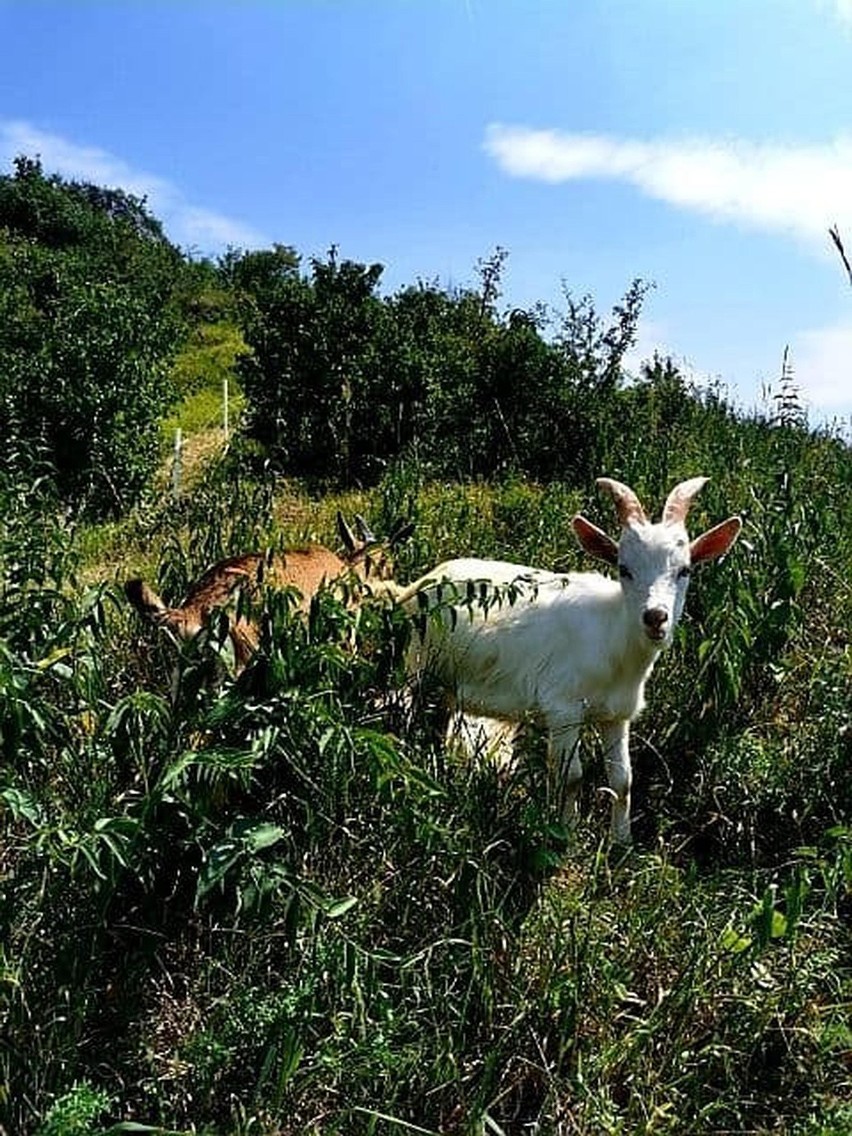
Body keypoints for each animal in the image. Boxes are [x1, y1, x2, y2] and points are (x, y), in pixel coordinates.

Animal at [399, 477, 740, 845]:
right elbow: (571, 776)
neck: (611, 636)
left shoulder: (617, 715)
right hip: (416, 666)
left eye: (685, 570)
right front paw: (568, 836)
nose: (655, 617)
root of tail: (417, 585)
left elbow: (623, 780)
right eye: (624, 569)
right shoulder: (562, 708)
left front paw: (622, 842)